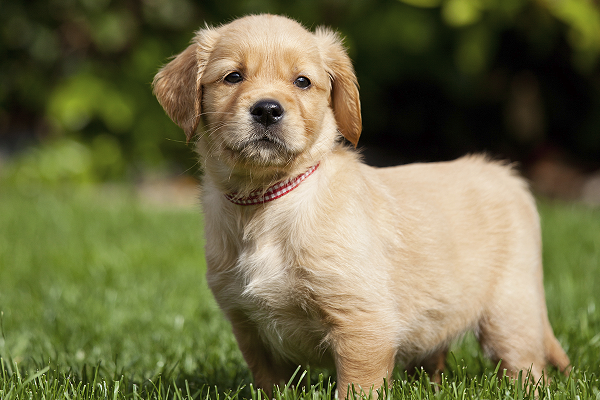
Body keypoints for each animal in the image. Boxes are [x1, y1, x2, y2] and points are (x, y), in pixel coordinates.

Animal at [152, 14, 568, 398]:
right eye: (233, 77)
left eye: (302, 81)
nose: (267, 109)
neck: (267, 200)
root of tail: (503, 173)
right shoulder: (250, 330)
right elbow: (271, 385)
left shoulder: (363, 323)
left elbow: (356, 386)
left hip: (511, 310)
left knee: (527, 367)